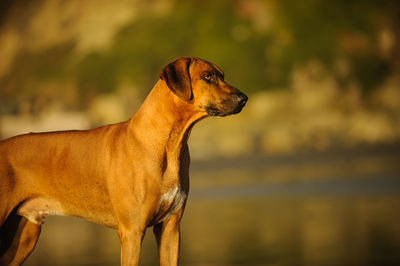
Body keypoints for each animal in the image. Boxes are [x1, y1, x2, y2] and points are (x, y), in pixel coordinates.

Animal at [0, 57, 247, 264]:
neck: (167, 143)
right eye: (207, 76)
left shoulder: (171, 228)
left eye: (222, 75)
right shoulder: (132, 232)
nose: (243, 99)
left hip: (23, 237)